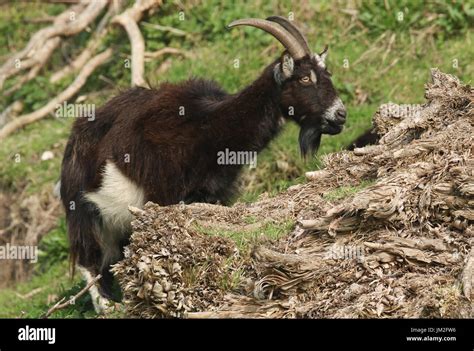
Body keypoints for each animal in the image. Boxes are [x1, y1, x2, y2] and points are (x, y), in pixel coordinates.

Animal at [59, 15, 348, 296]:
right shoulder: (164, 195)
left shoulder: (214, 194)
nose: (341, 114)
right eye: (305, 79)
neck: (208, 126)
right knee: (90, 265)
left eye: (327, 74)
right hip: (86, 215)